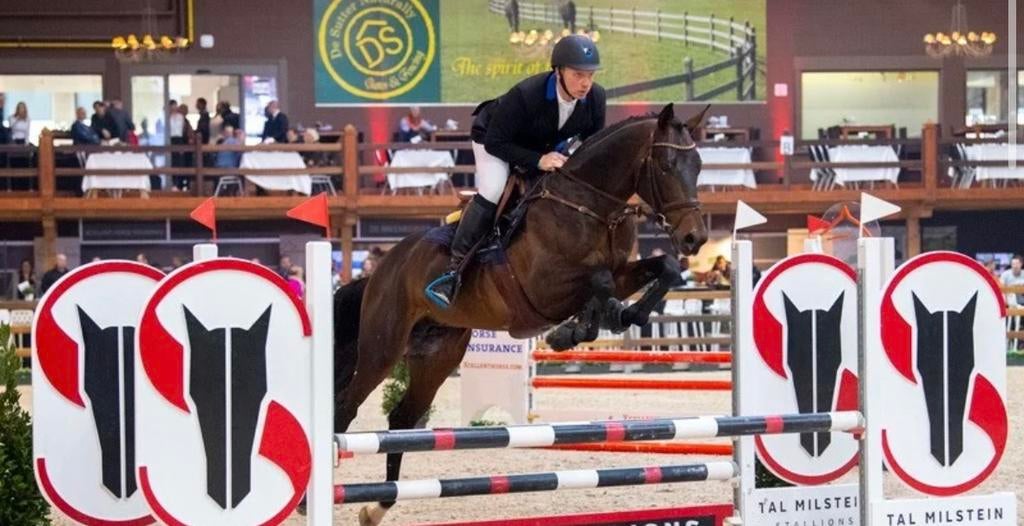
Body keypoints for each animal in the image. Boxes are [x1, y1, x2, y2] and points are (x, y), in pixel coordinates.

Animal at [333, 103, 708, 525]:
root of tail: (381, 269)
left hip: (437, 354)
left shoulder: (622, 272)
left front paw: (611, 320)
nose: (695, 238)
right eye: (666, 166)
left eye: (698, 165)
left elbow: (664, 269)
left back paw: (376, 507)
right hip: (383, 348)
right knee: (347, 405)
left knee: (401, 418)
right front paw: (583, 326)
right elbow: (599, 281)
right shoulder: (544, 289)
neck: (593, 206)